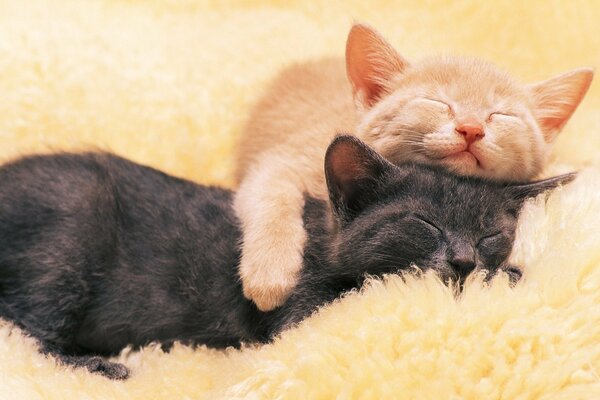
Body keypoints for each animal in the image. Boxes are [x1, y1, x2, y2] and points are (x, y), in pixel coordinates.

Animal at [232, 22, 592, 312]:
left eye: (500, 116)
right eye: (438, 103)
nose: (471, 128)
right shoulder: (288, 159)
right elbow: (269, 192)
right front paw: (270, 274)